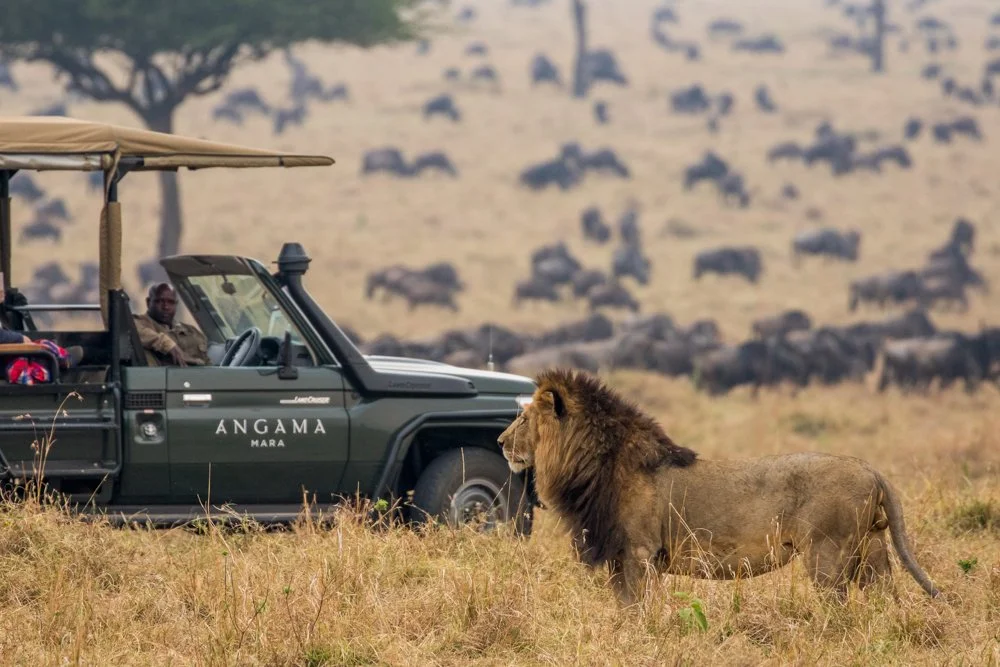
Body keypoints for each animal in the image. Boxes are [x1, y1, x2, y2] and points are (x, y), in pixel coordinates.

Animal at [497, 367, 940, 606]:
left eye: (524, 419)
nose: (500, 442)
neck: (595, 464)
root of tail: (870, 468)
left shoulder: (641, 554)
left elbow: (640, 609)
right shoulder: (621, 558)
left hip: (827, 556)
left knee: (839, 607)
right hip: (871, 551)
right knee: (886, 599)